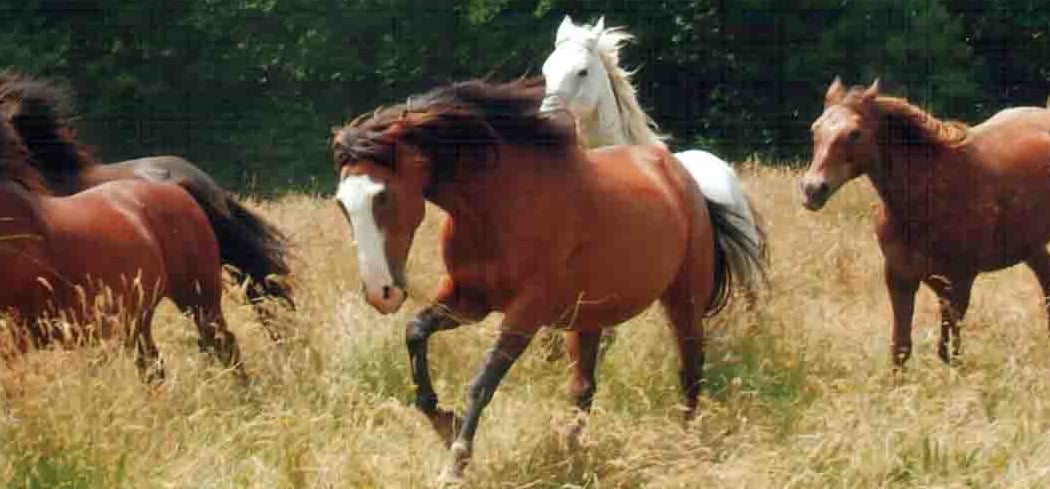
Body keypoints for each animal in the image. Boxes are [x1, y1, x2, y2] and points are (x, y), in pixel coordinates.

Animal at [331, 79, 762, 482]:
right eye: (341, 204)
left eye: (382, 196)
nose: (381, 293)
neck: (498, 205)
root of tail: (682, 177)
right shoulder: (468, 300)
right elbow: (416, 332)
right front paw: (442, 421)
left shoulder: (526, 312)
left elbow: (483, 381)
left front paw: (455, 462)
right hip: (588, 318)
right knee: (584, 388)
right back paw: (572, 453)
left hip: (682, 301)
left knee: (690, 371)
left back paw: (685, 445)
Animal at [802, 78, 1050, 366]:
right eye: (815, 128)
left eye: (855, 133)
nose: (812, 189)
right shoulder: (900, 277)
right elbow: (901, 348)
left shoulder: (960, 280)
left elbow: (951, 352)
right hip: (1031, 247)